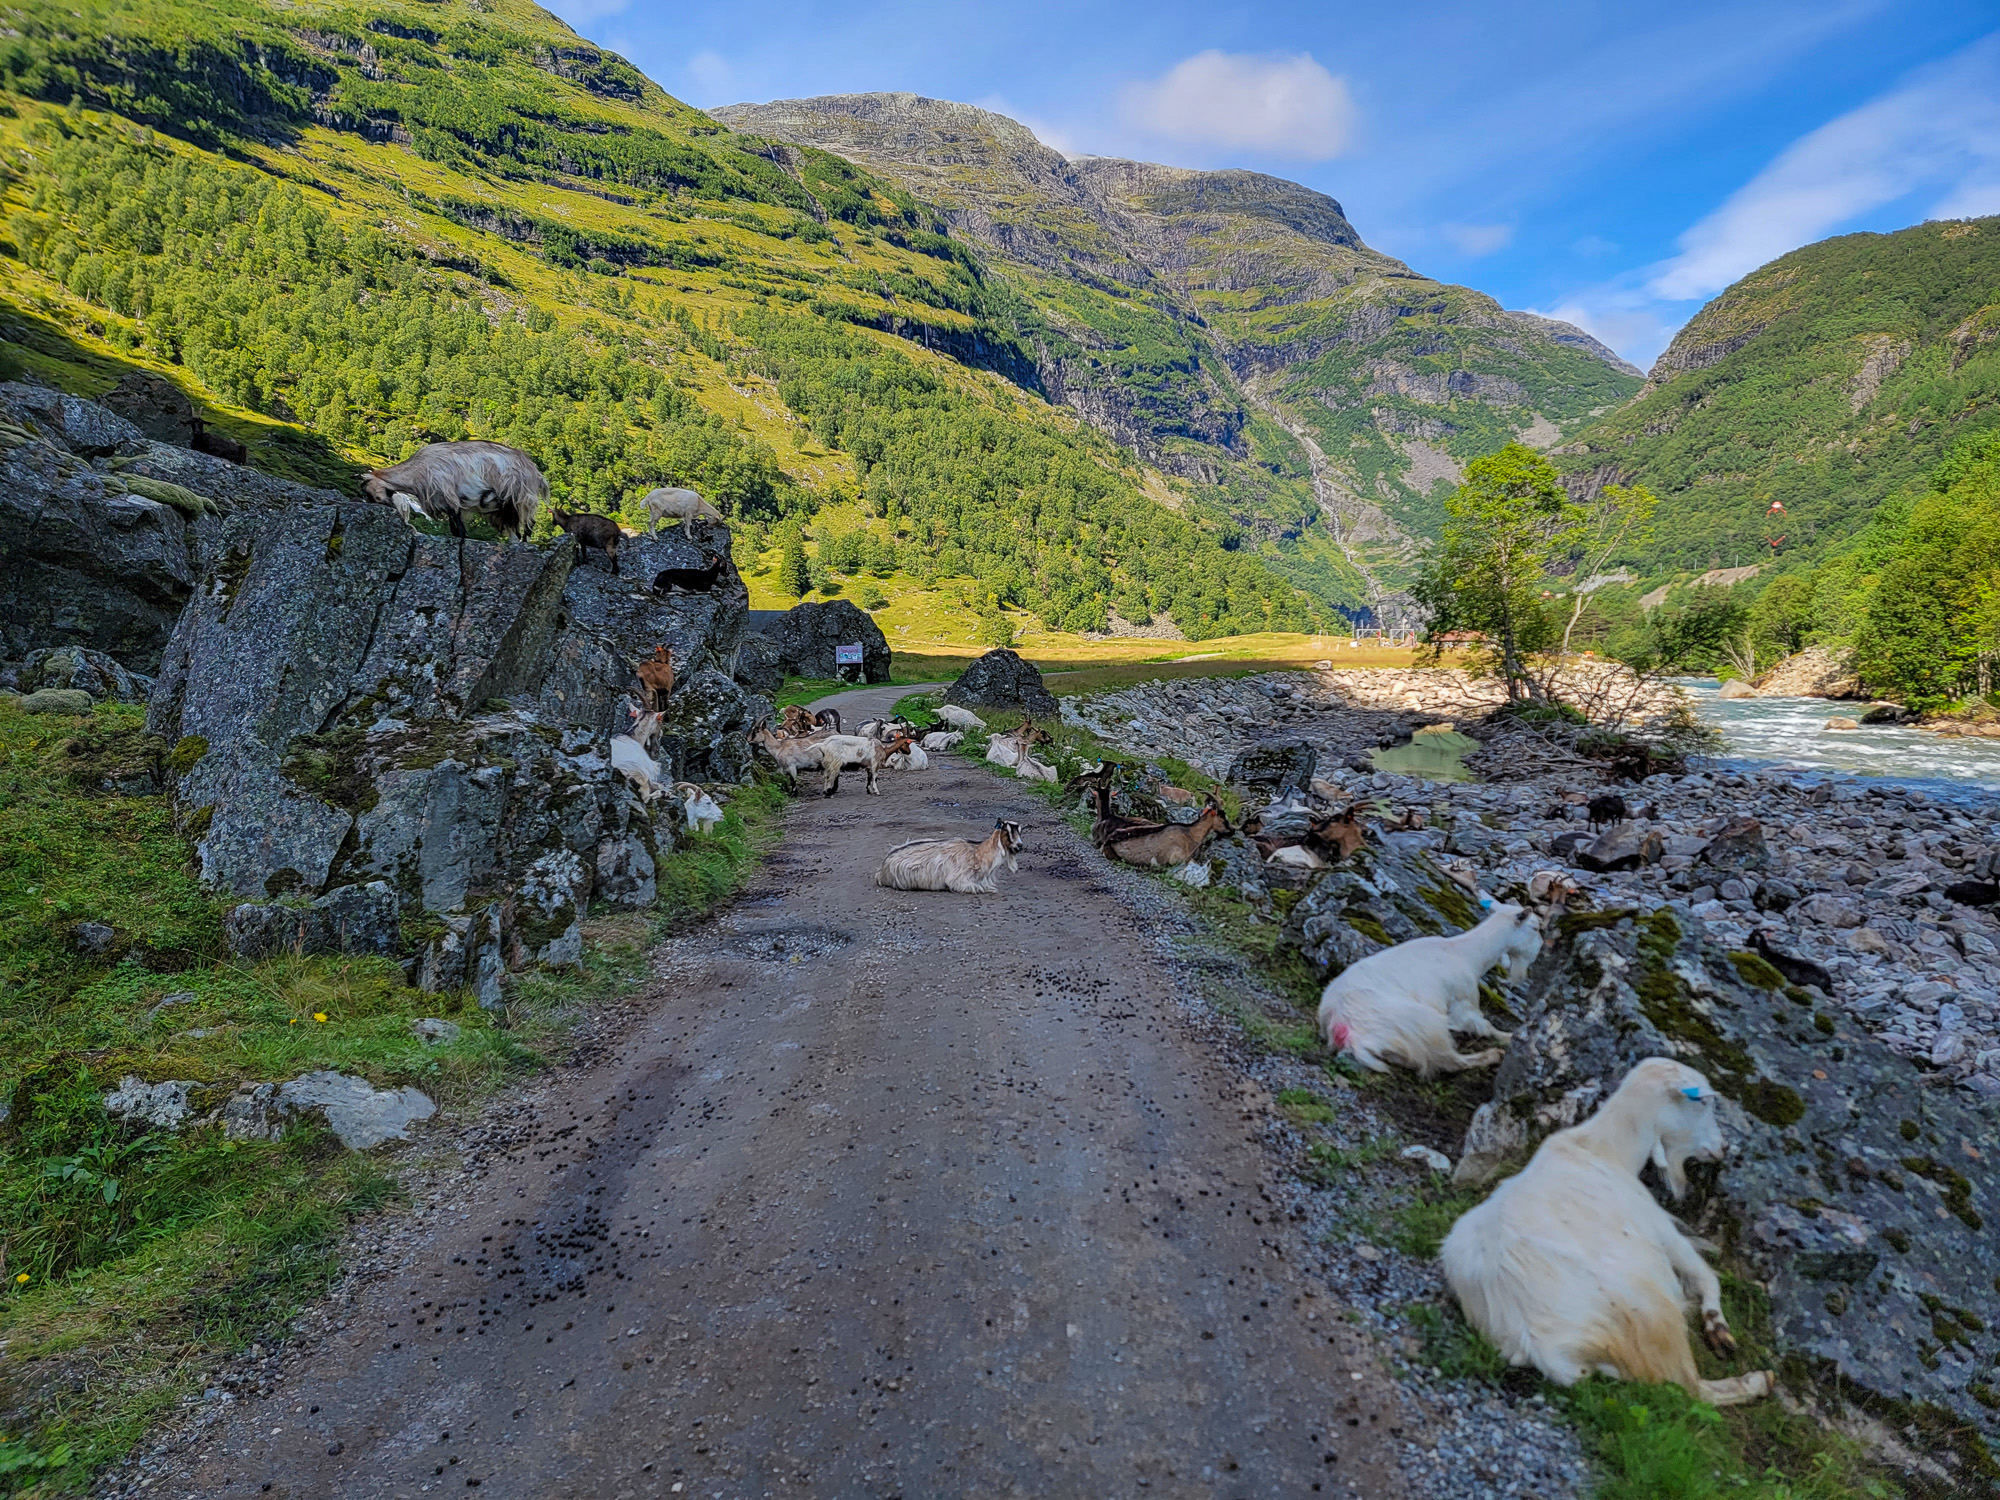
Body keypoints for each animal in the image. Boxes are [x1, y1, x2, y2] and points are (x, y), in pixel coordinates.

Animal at [876, 824, 1024, 892]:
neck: (978, 853)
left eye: (1019, 832)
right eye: (1009, 834)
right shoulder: (959, 879)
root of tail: (881, 871)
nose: (1020, 845)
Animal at [1320, 904, 1536, 1080]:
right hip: (1427, 1026)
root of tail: (1341, 1024)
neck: (1464, 953)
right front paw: (1508, 1037)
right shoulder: (1462, 1000)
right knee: (1450, 1062)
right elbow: (1483, 1025)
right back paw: (1491, 1055)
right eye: (1535, 928)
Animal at [1448, 1056, 1776, 1408]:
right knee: (1690, 1390)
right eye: (1703, 1102)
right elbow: (1706, 1275)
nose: (1723, 1147)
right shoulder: (1656, 1225)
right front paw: (1718, 1325)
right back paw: (1757, 1380)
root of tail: (1536, 1344)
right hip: (1652, 1317)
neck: (1602, 1150)